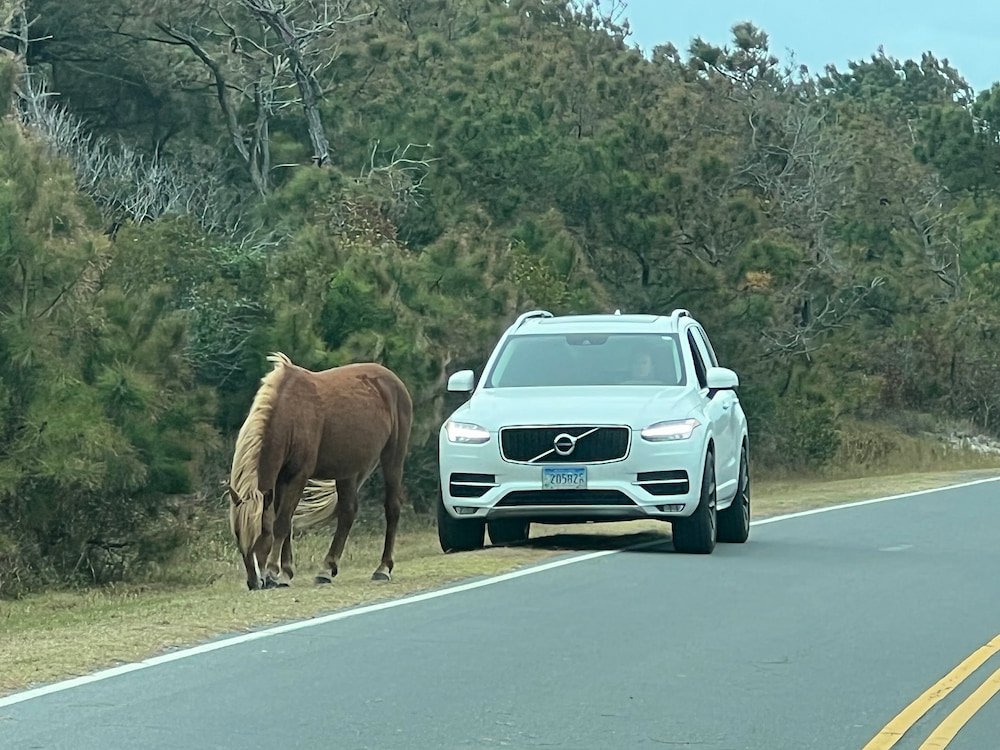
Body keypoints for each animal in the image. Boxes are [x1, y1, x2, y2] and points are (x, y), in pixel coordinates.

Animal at [226, 352, 413, 590]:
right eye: (238, 535)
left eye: (262, 534)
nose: (253, 582)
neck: (291, 413)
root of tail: (393, 380)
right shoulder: (279, 480)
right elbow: (285, 522)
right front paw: (285, 573)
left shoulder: (298, 476)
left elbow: (281, 523)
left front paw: (272, 572)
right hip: (348, 470)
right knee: (347, 513)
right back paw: (326, 570)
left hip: (393, 456)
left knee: (392, 507)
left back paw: (383, 568)